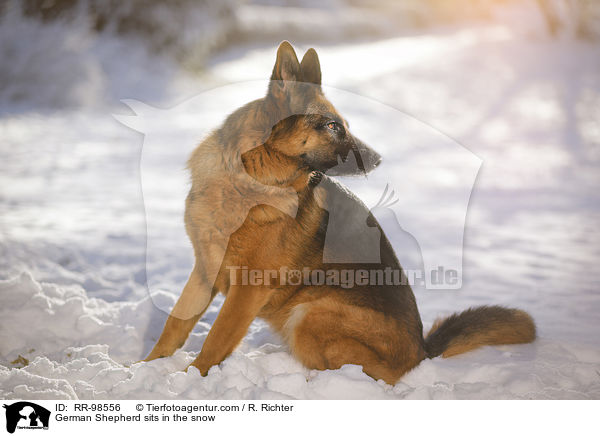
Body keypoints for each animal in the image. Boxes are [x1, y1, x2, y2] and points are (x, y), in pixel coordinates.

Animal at [144, 41, 536, 382]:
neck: (248, 183)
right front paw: (146, 368)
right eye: (332, 126)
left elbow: (215, 340)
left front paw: (187, 380)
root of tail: (422, 352)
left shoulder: (248, 290)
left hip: (309, 313)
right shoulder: (204, 270)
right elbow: (175, 325)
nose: (379, 159)